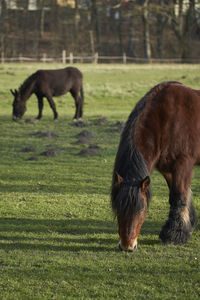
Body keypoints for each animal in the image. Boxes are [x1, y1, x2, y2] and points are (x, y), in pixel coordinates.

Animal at [111, 81, 198, 252]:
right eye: (118, 208)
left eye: (141, 209)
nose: (127, 246)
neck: (167, 120)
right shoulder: (168, 169)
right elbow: (178, 196)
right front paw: (188, 226)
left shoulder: (182, 165)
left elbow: (179, 197)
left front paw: (173, 236)